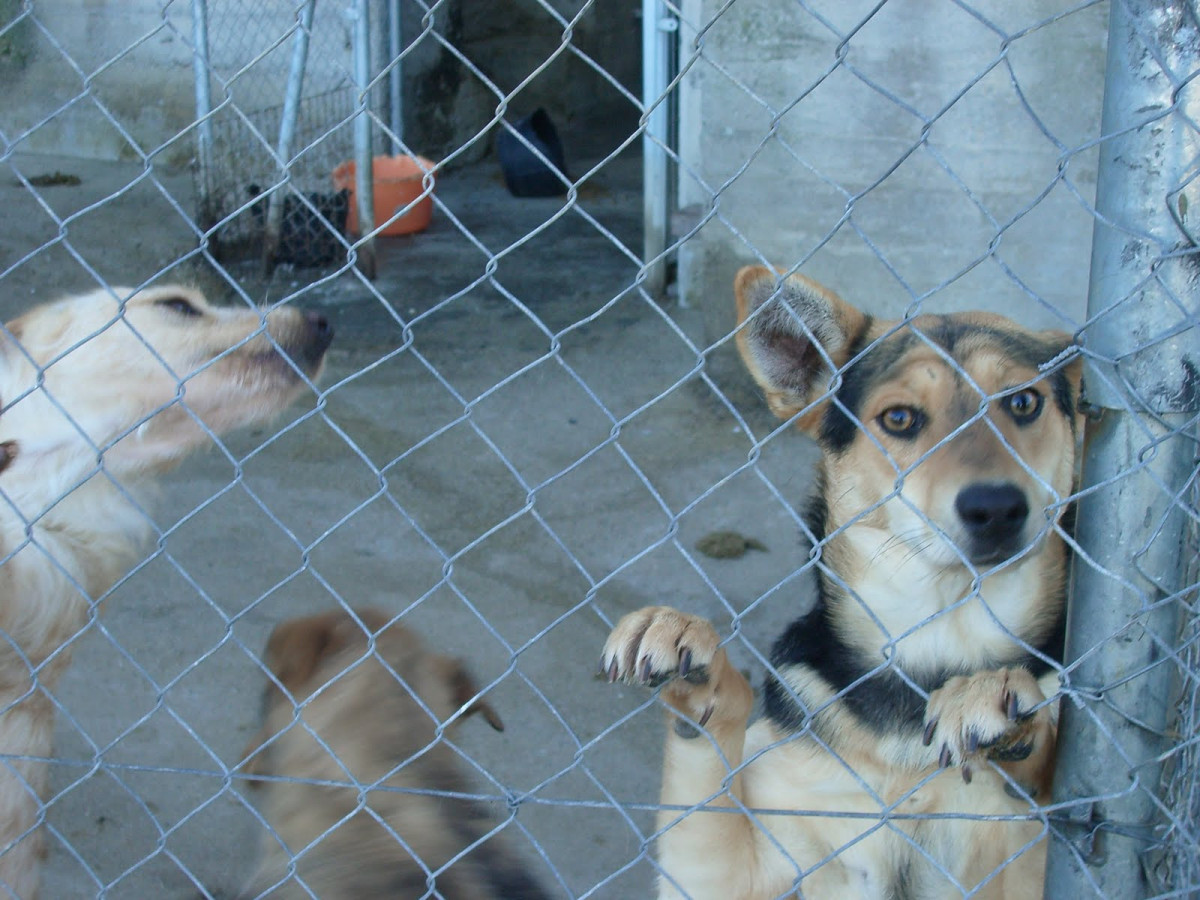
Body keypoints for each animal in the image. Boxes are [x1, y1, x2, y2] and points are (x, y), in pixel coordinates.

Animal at [600, 267, 1080, 900]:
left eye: (1023, 402)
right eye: (899, 418)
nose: (997, 508)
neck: (929, 645)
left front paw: (999, 700)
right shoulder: (739, 868)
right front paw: (685, 647)